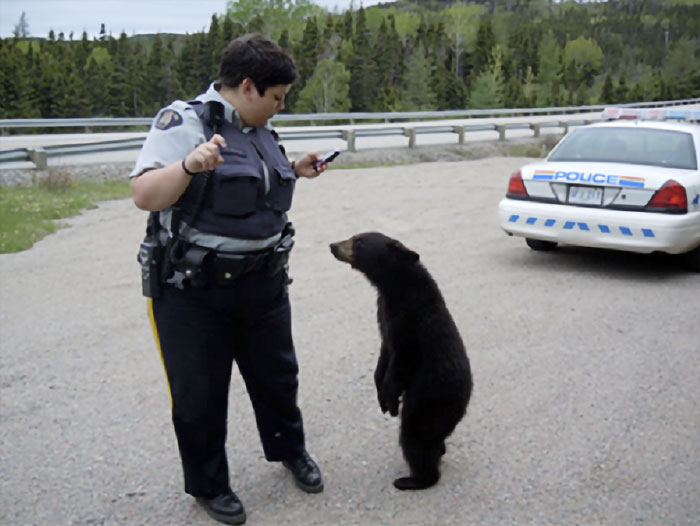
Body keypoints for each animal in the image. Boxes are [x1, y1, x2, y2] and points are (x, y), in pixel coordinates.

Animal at [330, 232, 473, 490]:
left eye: (359, 241)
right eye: (354, 236)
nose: (332, 246)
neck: (394, 286)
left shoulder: (409, 319)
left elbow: (403, 358)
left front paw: (388, 397)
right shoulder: (384, 314)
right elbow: (385, 350)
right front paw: (381, 393)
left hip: (429, 397)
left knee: (415, 434)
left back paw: (412, 479)